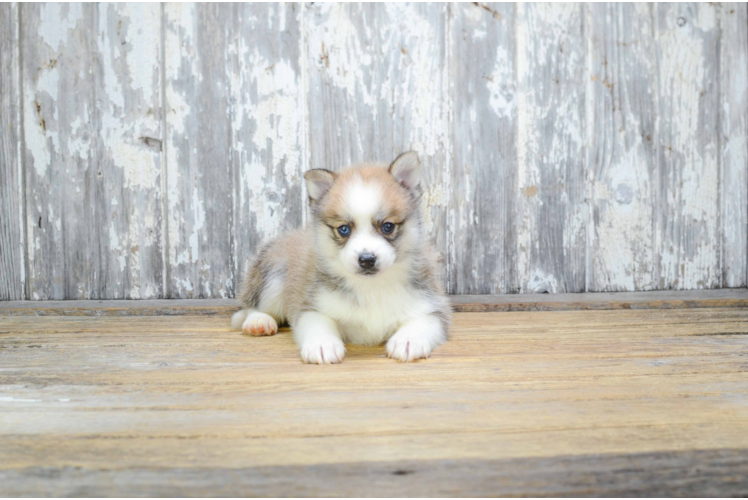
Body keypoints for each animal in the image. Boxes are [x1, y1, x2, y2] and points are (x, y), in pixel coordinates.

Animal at [231, 151, 450, 364]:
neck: (371, 287)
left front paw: (408, 341)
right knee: (252, 307)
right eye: (344, 229)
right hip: (273, 275)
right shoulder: (311, 305)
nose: (367, 259)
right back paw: (259, 321)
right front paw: (322, 344)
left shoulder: (433, 306)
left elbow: (423, 322)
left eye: (388, 226)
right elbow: (318, 323)